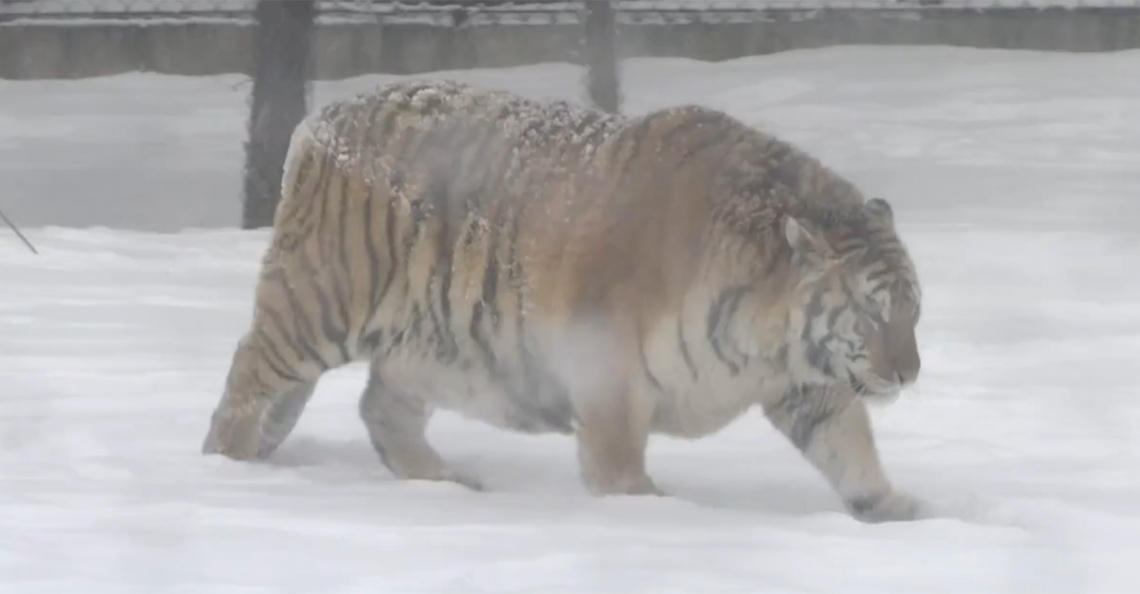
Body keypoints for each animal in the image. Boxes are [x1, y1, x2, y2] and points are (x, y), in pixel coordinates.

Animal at [198, 78, 925, 524]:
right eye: (872, 311)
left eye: (914, 310)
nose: (910, 373)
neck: (765, 341)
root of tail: (318, 120)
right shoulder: (609, 372)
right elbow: (617, 462)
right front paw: (649, 508)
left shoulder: (808, 384)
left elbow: (849, 446)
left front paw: (898, 511)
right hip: (318, 304)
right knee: (248, 377)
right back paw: (229, 472)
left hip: (435, 344)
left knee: (380, 404)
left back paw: (445, 481)